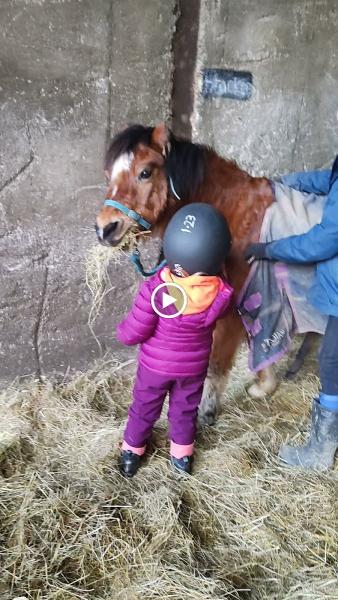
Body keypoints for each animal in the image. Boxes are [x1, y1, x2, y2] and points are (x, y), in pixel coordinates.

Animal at [94, 120, 278, 422]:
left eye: (145, 172)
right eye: (109, 175)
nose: (105, 229)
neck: (236, 214)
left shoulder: (231, 309)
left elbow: (217, 362)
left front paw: (205, 413)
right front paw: (265, 386)